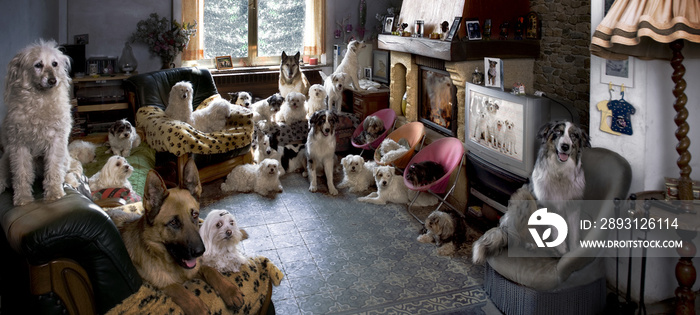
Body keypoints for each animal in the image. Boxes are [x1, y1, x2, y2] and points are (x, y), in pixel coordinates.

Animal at [0, 39, 73, 206]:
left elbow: (53, 169)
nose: (53, 80)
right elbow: (21, 174)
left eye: (54, 64)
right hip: (6, 159)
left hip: (65, 158)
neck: (40, 100)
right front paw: (23, 199)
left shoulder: (56, 142)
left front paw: (54, 193)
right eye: (38, 65)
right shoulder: (18, 146)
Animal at [470, 120, 592, 264]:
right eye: (558, 132)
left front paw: (572, 254)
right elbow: (556, 230)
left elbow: (573, 234)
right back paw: (531, 244)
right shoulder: (546, 205)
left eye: (574, 135)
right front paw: (562, 250)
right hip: (524, 198)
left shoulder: (573, 206)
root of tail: (506, 226)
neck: (560, 173)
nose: (565, 146)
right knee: (521, 235)